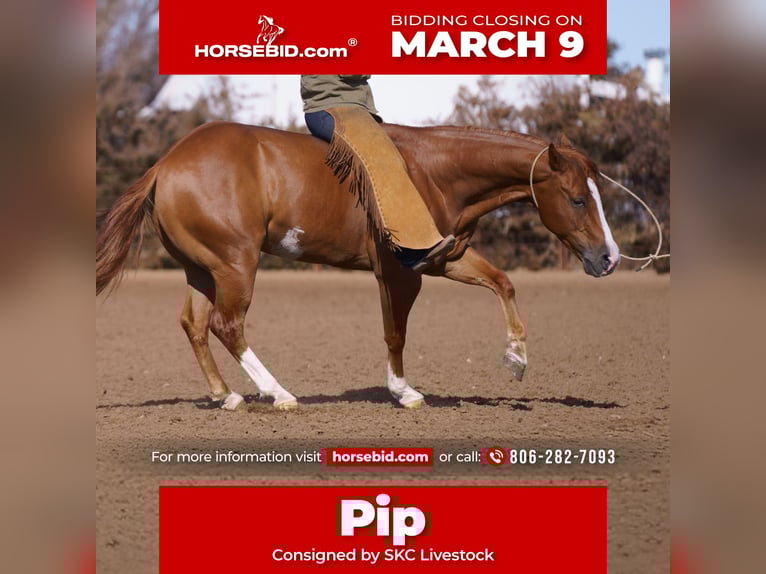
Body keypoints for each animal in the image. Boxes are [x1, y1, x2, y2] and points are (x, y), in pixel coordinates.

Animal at [96, 122, 620, 411]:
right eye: (577, 198)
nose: (609, 258)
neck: (431, 172)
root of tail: (165, 165)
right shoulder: (400, 271)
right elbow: (396, 332)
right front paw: (403, 391)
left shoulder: (445, 260)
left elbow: (503, 283)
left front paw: (517, 358)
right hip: (234, 264)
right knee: (227, 325)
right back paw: (279, 394)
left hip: (202, 270)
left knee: (195, 324)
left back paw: (226, 395)